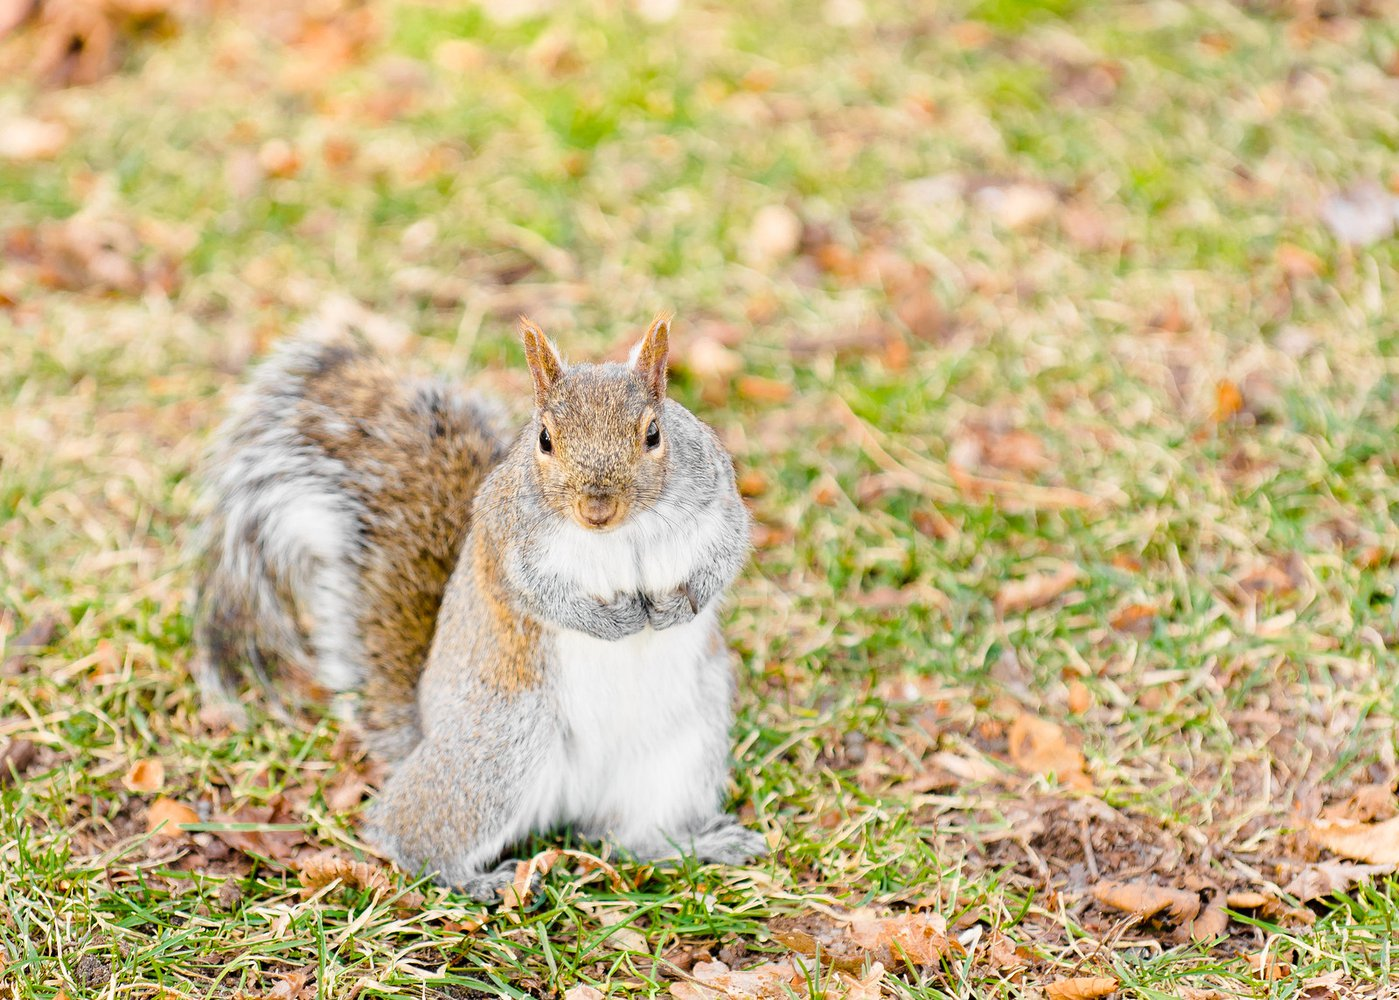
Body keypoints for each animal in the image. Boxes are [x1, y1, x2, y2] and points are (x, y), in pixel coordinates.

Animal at [190, 310, 766, 900]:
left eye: (653, 434)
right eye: (544, 439)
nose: (596, 510)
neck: (620, 534)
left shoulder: (719, 503)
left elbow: (726, 555)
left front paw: (678, 607)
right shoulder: (507, 545)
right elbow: (540, 596)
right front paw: (612, 620)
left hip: (683, 753)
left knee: (625, 839)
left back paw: (694, 846)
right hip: (500, 743)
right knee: (405, 831)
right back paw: (471, 878)